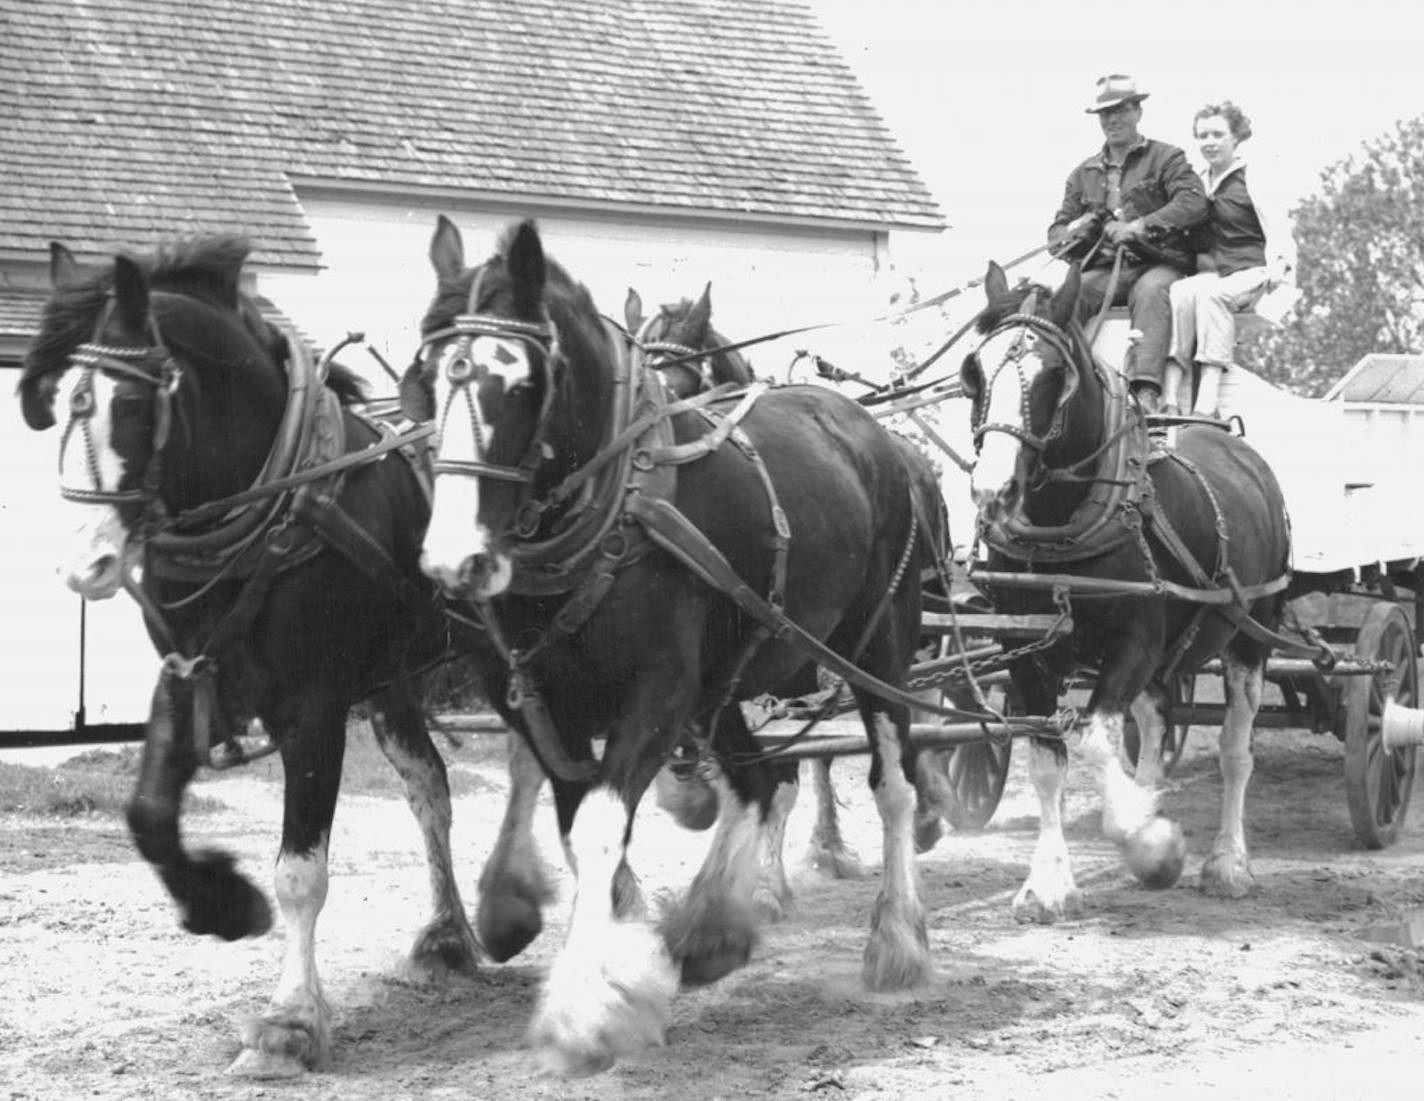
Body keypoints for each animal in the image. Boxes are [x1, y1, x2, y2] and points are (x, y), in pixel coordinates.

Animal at [15, 237, 489, 1071]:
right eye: (54, 401)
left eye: (128, 405)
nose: (84, 566)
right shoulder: (188, 676)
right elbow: (147, 815)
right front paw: (223, 902)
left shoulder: (313, 706)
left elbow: (301, 870)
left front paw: (290, 1021)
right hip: (395, 680)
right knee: (430, 786)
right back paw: (445, 937)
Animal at [401, 216, 934, 1071]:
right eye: (421, 375)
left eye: (517, 381)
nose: (456, 559)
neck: (613, 502)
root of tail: (871, 433)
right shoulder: (547, 703)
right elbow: (582, 825)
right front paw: (616, 963)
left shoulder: (658, 694)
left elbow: (597, 829)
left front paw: (584, 1008)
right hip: (730, 677)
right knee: (759, 778)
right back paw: (709, 927)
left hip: (878, 648)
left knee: (893, 785)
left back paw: (897, 942)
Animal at [956, 259, 1292, 917]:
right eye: (973, 372)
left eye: (1052, 374)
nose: (992, 492)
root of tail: (1235, 443)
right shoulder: (1026, 652)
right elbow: (1048, 761)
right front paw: (1048, 884)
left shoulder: (1133, 641)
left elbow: (1092, 740)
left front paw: (1148, 837)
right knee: (1157, 722)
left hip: (1251, 633)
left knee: (1236, 750)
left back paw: (1228, 863)